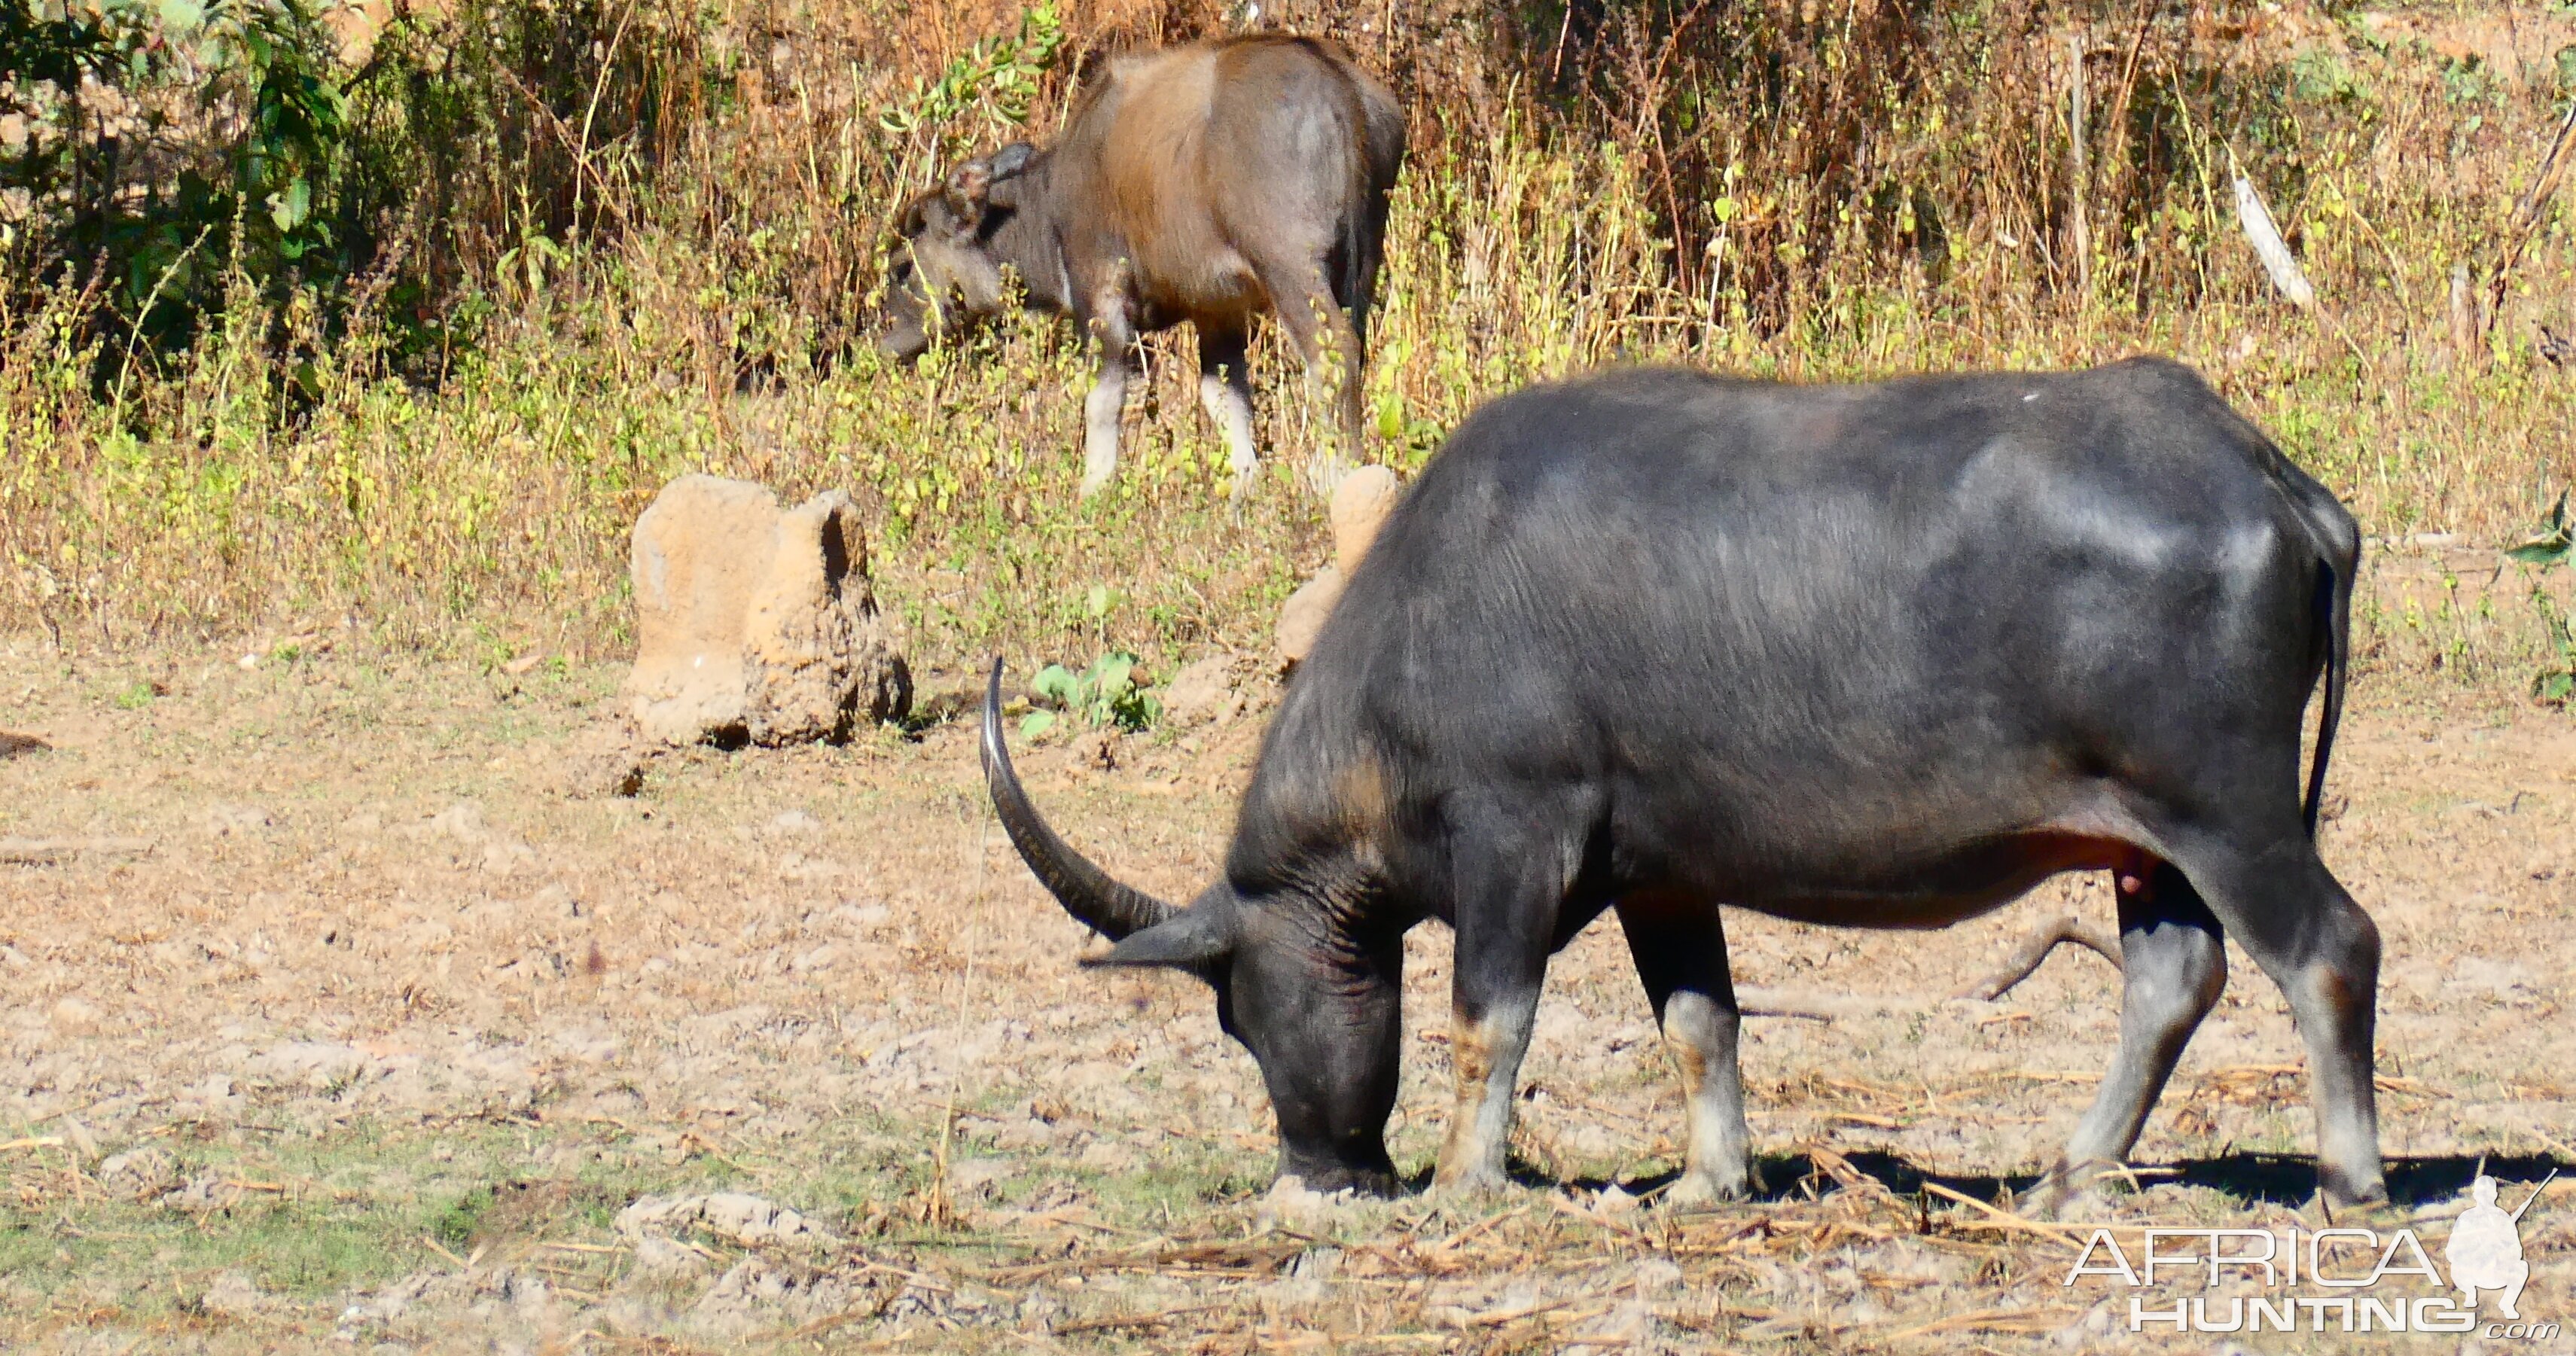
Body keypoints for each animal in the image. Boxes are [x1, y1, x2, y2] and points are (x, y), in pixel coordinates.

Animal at [886, 38, 1411, 505]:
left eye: (901, 266)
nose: (885, 343)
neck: (1047, 205)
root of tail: (1338, 87)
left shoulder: (1101, 300)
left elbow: (1106, 399)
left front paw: (1094, 487)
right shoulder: (1216, 310)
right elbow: (1224, 396)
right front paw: (1244, 485)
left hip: (1290, 268)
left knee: (1333, 352)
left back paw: (1332, 476)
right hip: (1363, 267)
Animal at [974, 358, 2380, 1211]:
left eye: (1236, 1011)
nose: (1321, 1172)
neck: (1425, 616)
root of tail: (2272, 480)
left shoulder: (1515, 829)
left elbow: (1488, 1016)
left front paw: (1462, 1178)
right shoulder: (1660, 874)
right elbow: (1700, 1019)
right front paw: (1711, 1180)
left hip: (2227, 810)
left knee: (2328, 946)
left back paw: (2347, 1174)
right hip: (2150, 840)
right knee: (2172, 979)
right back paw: (2070, 1172)